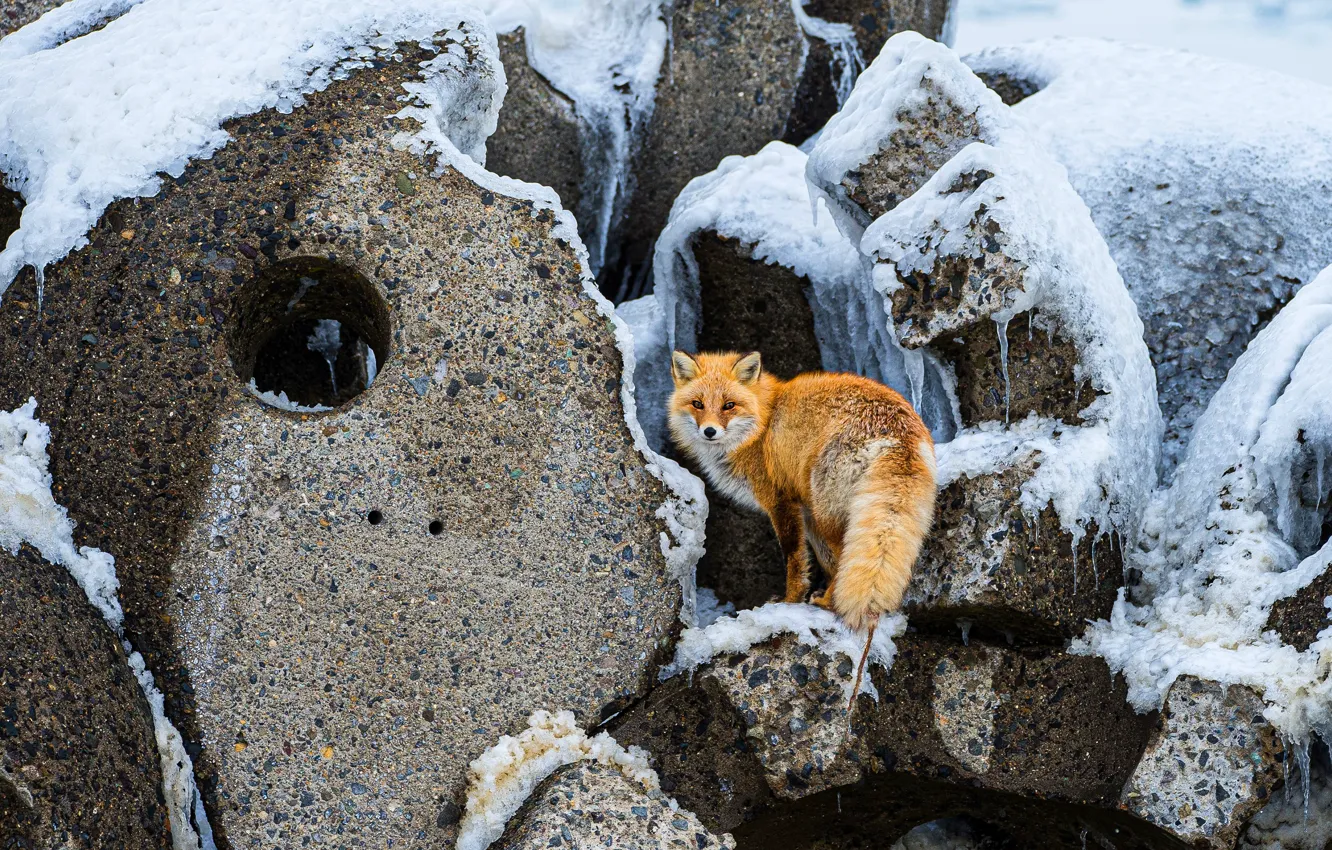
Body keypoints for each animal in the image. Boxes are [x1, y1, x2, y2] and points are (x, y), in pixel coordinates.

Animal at [668, 350, 936, 712]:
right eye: (697, 404)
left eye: (728, 406)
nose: (709, 431)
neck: (762, 427)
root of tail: (897, 429)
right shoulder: (804, 511)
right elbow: (823, 561)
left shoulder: (782, 502)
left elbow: (795, 560)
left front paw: (788, 604)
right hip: (829, 512)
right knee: (846, 561)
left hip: (826, 510)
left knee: (845, 556)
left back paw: (827, 604)